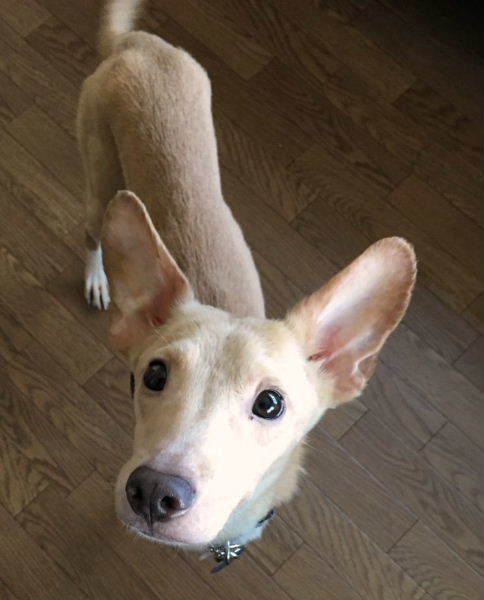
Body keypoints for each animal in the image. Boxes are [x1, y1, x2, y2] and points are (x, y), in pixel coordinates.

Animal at [77, 0, 416, 562]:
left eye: (270, 404)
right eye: (153, 375)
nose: (153, 491)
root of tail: (137, 43)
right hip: (99, 175)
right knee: (92, 232)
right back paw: (96, 276)